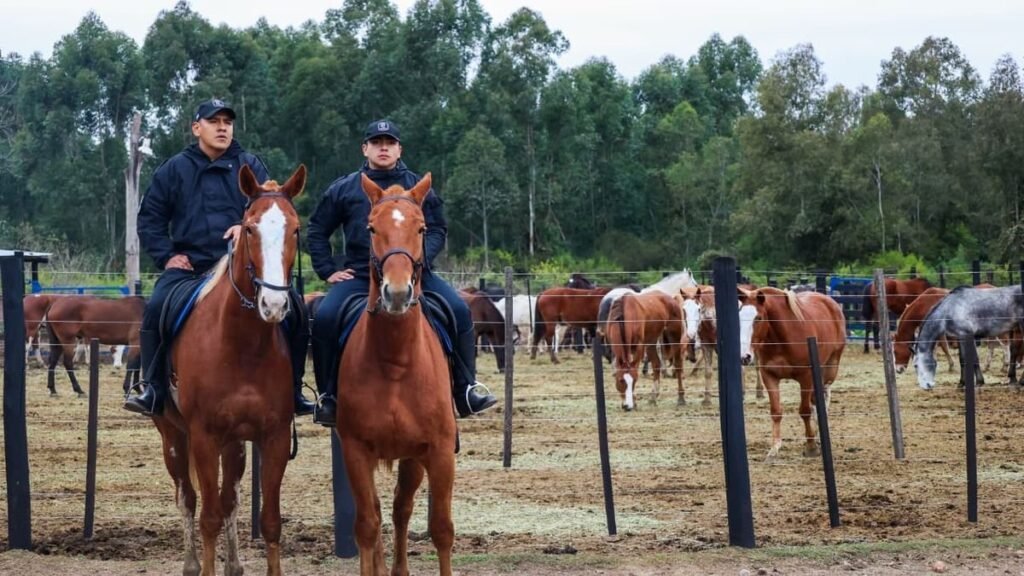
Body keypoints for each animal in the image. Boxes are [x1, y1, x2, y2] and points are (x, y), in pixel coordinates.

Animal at [152, 164, 306, 576]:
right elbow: (207, 517)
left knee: (229, 499)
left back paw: (234, 565)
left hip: (234, 443)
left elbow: (268, 520)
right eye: (250, 228)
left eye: (295, 228)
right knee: (188, 498)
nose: (273, 304)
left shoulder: (274, 436)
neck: (242, 345)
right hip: (173, 437)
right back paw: (192, 565)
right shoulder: (203, 436)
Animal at [336, 173, 457, 576]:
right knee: (376, 513)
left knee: (402, 508)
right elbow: (366, 526)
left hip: (412, 459)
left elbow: (441, 528)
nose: (398, 293)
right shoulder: (356, 452)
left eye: (421, 228)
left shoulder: (438, 452)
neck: (396, 363)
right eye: (372, 228)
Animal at [739, 287, 846, 461]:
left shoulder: (806, 377)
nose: (744, 357)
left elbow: (804, 410)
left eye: (758, 318)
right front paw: (774, 449)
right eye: (739, 317)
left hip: (830, 367)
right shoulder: (769, 377)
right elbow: (776, 411)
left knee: (824, 397)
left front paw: (811, 448)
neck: (781, 339)